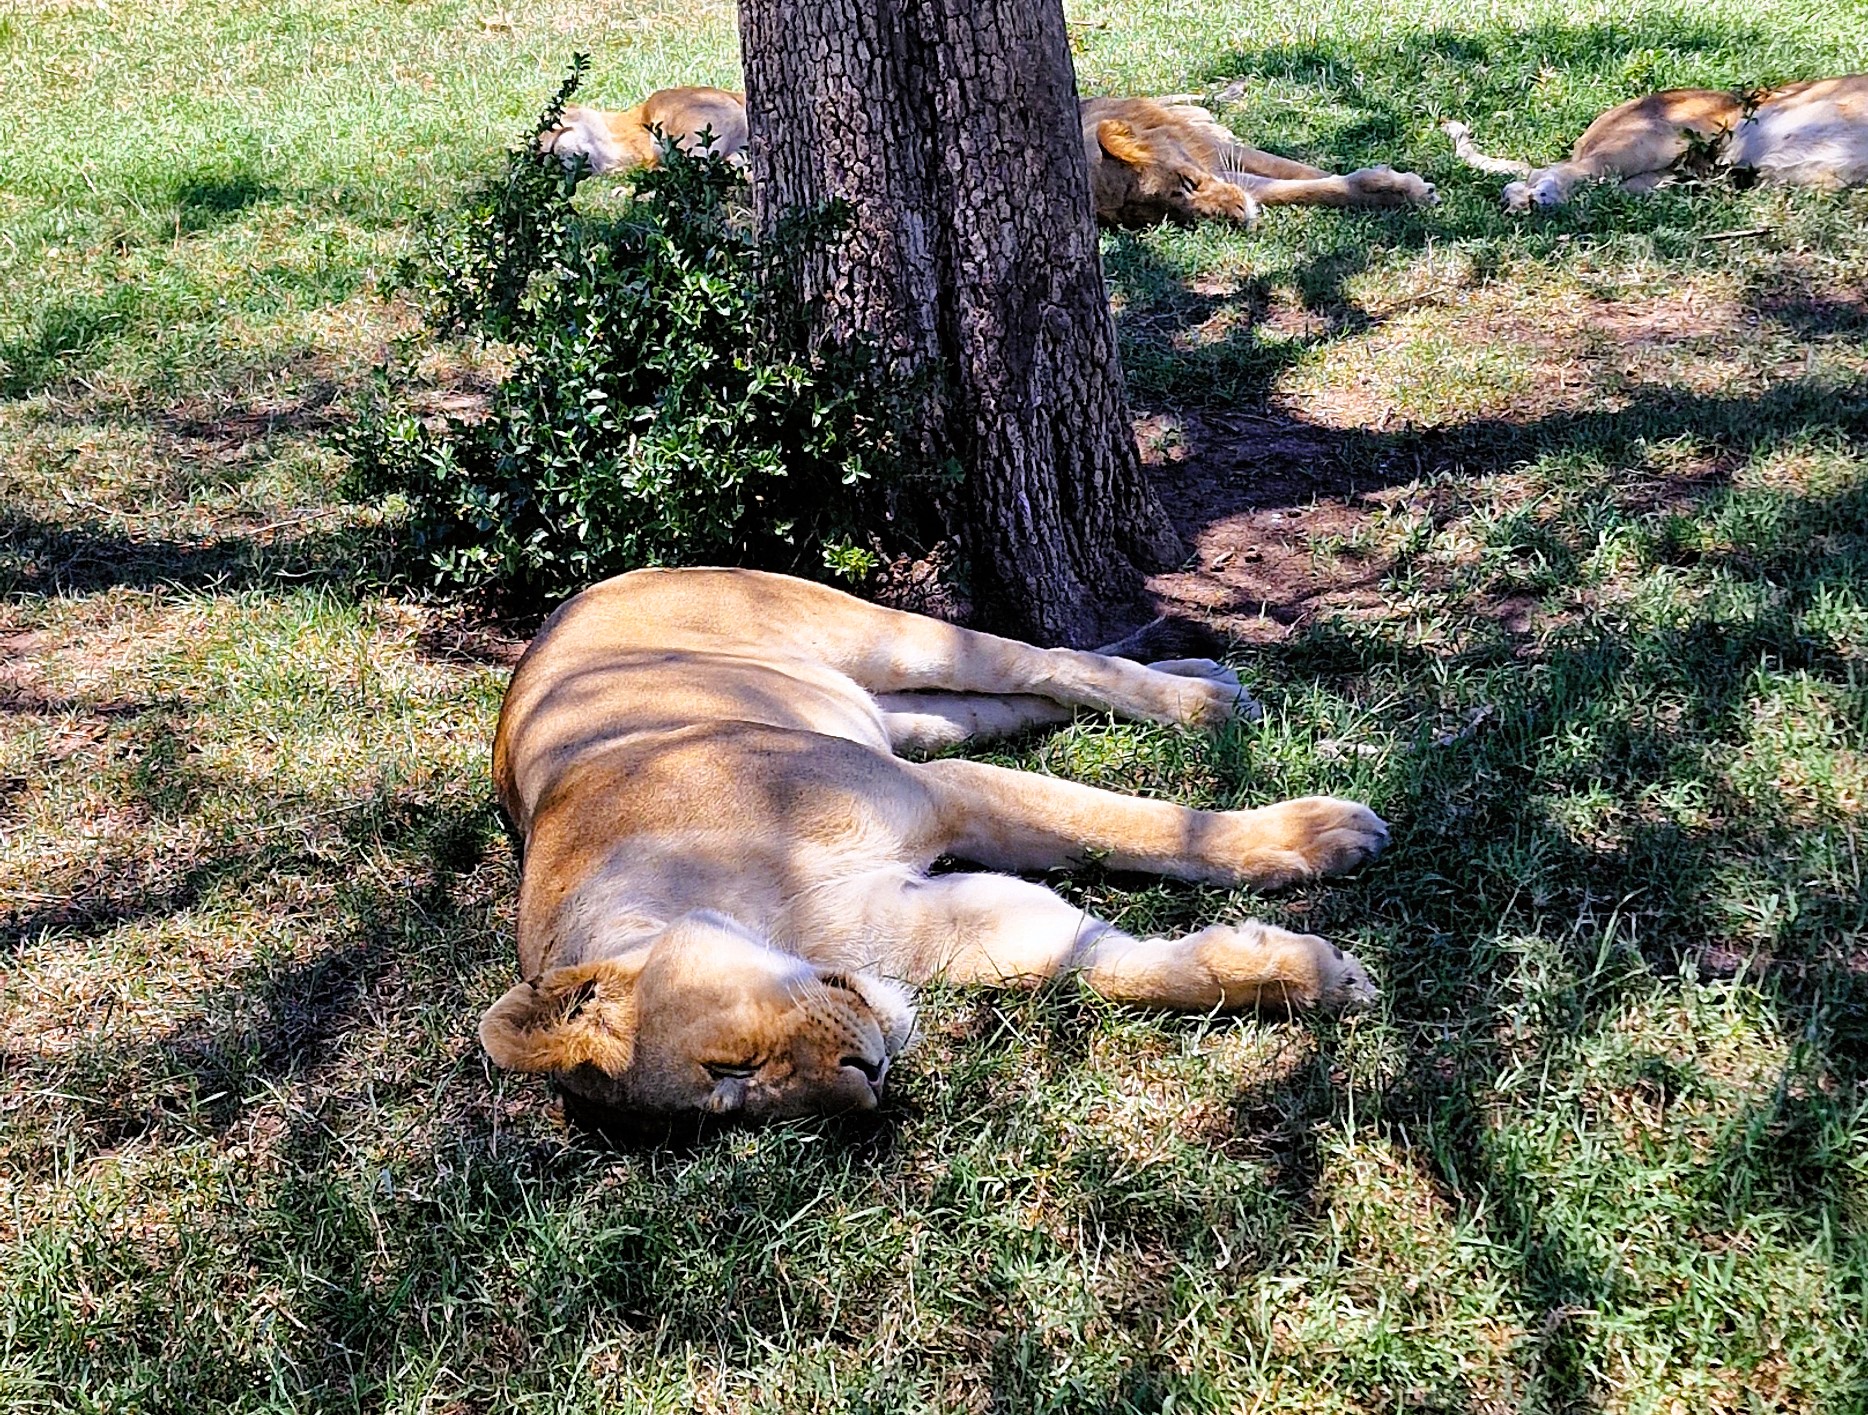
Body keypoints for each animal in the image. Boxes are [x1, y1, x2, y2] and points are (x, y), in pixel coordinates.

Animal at [481, 568, 1389, 1121]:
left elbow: (1146, 825)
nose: (867, 1079)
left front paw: (1318, 836)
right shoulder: (939, 911)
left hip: (882, 637)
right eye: (740, 1103)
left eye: (728, 1066)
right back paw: (1209, 677)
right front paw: (1307, 975)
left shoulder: (941, 791)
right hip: (908, 715)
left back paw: (1209, 700)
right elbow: (1100, 964)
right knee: (1021, 698)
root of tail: (579, 595)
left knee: (1048, 661)